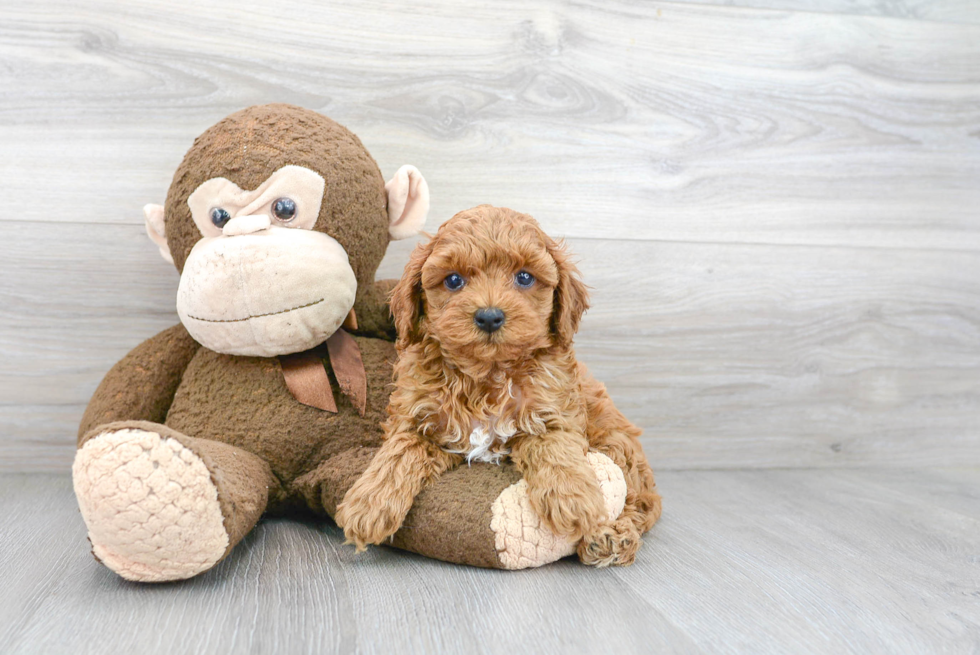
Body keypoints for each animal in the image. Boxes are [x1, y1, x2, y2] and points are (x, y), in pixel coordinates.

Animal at [334, 206, 664, 568]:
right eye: (453, 280)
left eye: (524, 277)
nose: (490, 316)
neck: (487, 375)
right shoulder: (419, 419)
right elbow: (399, 452)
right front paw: (368, 504)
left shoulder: (554, 411)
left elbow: (555, 449)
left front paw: (573, 499)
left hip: (618, 443)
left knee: (640, 500)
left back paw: (609, 535)